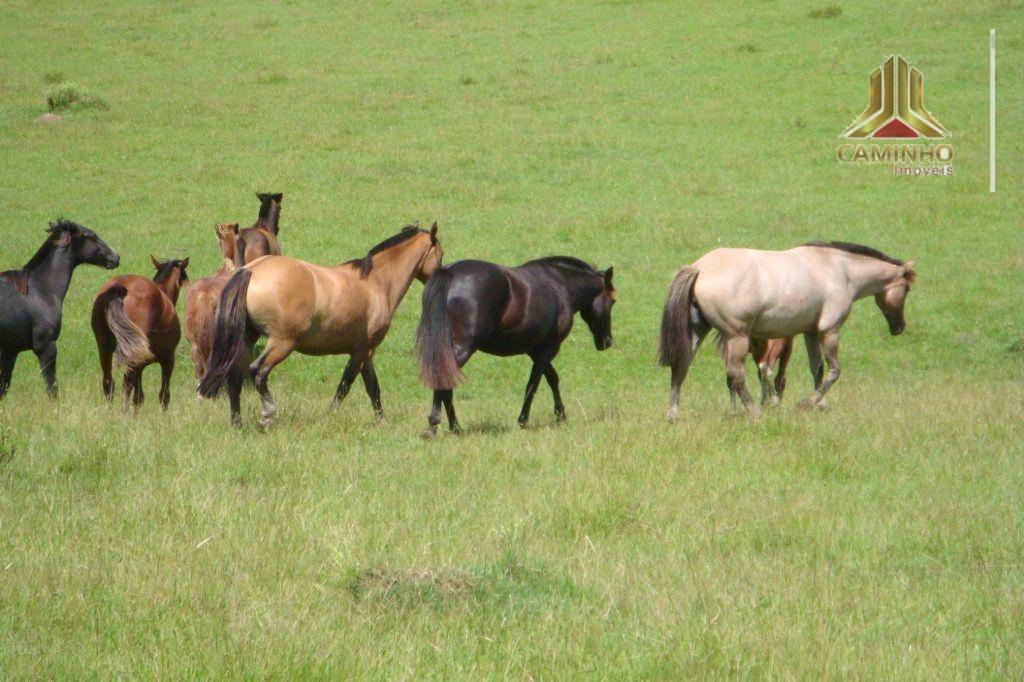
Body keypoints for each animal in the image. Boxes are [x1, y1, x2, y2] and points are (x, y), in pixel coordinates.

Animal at [0, 218, 119, 399]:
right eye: (91, 235)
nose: (116, 257)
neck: (39, 290)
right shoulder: (46, 348)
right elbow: (52, 388)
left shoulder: (10, 351)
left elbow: (4, 386)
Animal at [197, 223, 442, 425]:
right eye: (440, 255)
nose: (439, 278)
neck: (376, 283)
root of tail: (252, 270)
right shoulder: (363, 351)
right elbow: (346, 384)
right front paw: (331, 415)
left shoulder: (365, 351)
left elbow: (373, 388)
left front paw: (381, 421)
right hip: (281, 343)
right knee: (258, 370)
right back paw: (267, 413)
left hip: (248, 339)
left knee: (234, 377)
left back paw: (237, 423)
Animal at [413, 254, 614, 436]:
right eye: (613, 301)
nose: (607, 341)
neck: (560, 285)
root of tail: (450, 272)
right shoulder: (548, 348)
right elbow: (533, 384)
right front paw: (523, 421)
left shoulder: (535, 350)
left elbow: (552, 378)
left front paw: (560, 415)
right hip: (462, 349)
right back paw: (436, 426)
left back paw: (454, 427)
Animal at [659, 238, 917, 419]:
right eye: (906, 290)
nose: (899, 327)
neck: (838, 269)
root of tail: (699, 268)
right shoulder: (829, 330)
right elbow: (834, 371)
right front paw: (809, 403)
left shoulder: (811, 332)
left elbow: (817, 370)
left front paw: (820, 405)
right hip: (737, 338)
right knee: (735, 375)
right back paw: (755, 412)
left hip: (698, 332)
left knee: (681, 367)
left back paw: (673, 415)